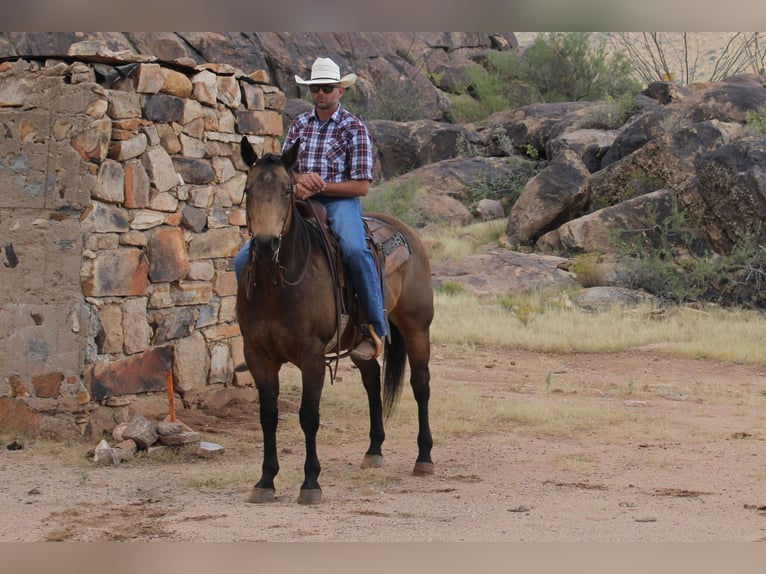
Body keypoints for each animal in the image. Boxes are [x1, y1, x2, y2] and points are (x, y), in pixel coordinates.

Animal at [236, 137, 438, 506]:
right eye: (248, 189)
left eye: (288, 190)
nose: (265, 244)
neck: (277, 284)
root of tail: (406, 232)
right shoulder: (257, 355)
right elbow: (268, 415)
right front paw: (266, 480)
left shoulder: (311, 355)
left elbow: (308, 416)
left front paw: (310, 482)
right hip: (360, 343)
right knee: (372, 380)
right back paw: (374, 450)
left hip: (417, 327)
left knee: (421, 385)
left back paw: (424, 457)